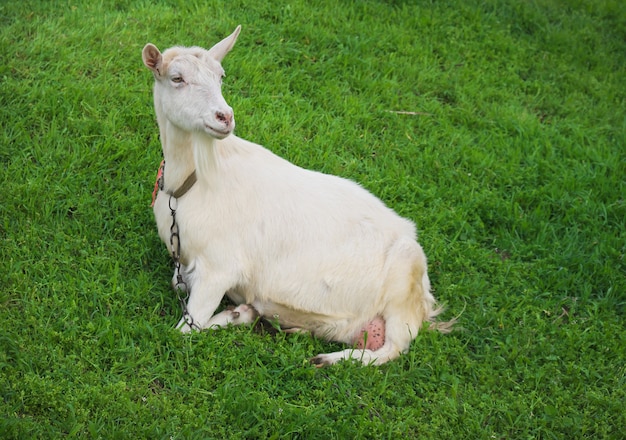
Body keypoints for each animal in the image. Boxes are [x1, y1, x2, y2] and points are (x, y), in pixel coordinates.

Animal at [144, 25, 450, 366]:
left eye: (221, 76)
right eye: (177, 78)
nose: (224, 116)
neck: (191, 181)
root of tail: (425, 299)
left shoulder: (219, 268)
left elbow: (185, 330)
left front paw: (231, 315)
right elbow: (177, 285)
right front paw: (241, 313)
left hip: (403, 286)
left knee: (391, 349)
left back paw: (327, 359)